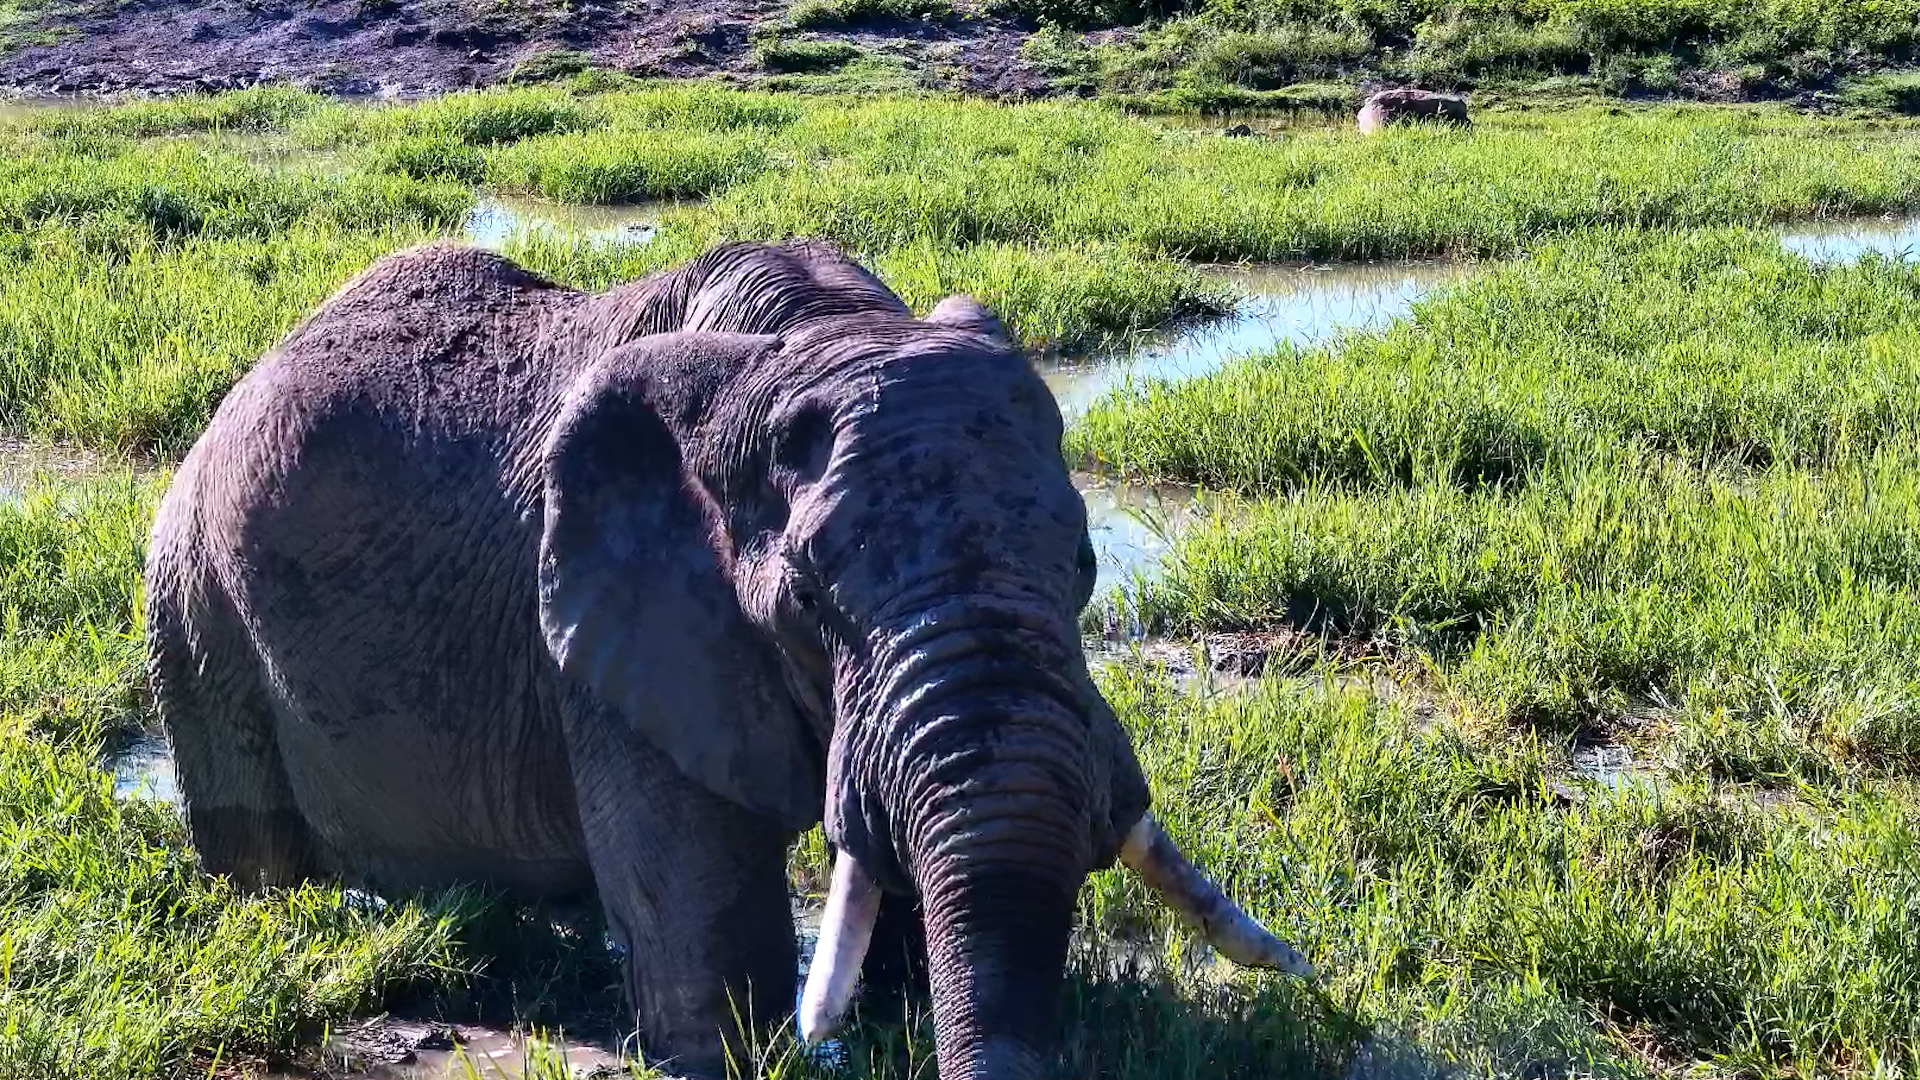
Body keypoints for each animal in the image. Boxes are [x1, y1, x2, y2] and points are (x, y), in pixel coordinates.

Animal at [143, 237, 1311, 1080]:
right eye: (810, 600)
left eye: (1083, 565)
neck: (813, 332)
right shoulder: (614, 629)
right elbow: (711, 928)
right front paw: (744, 1048)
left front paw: (896, 1016)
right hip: (192, 605)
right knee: (254, 846)